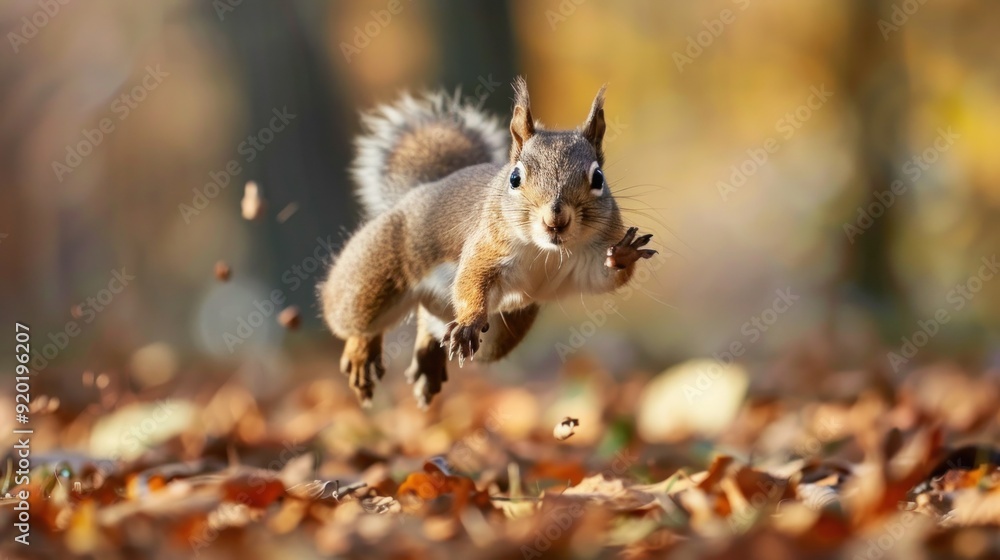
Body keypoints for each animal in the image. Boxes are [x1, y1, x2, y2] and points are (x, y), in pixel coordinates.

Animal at [319, 78, 657, 408]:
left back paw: (428, 362)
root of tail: (422, 190)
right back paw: (361, 352)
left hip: (496, 335)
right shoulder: (486, 247)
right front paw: (469, 322)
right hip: (373, 275)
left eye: (598, 178)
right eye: (515, 178)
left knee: (433, 325)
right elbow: (472, 281)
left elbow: (603, 277)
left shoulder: (589, 256)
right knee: (357, 319)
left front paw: (623, 255)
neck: (545, 250)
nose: (556, 219)